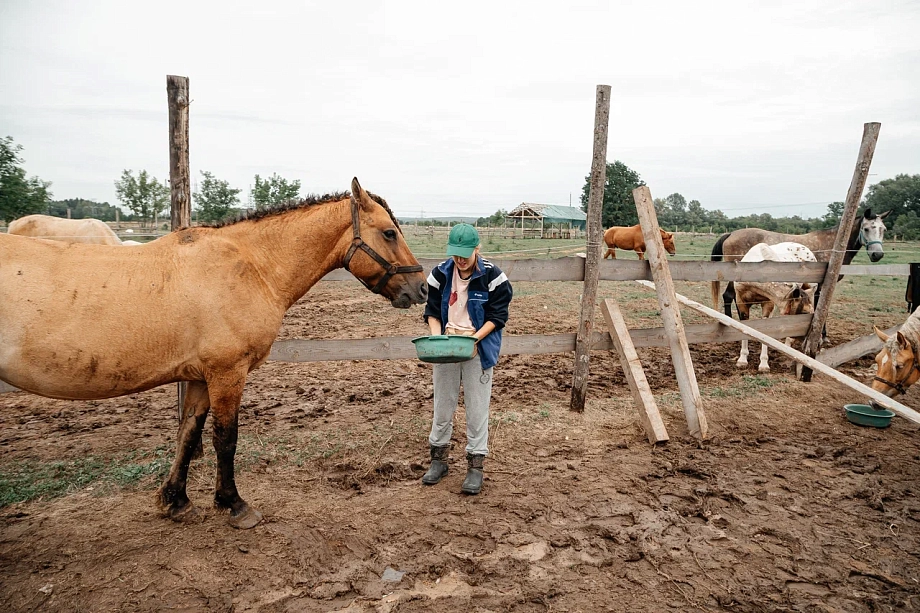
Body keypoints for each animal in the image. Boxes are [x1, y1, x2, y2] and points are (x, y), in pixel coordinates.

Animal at [0, 177, 430, 524]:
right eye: (389, 233)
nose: (422, 289)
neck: (252, 266)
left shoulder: (199, 377)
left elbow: (188, 434)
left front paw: (175, 501)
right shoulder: (227, 373)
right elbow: (226, 438)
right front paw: (233, 504)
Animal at [736, 241, 816, 370]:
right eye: (804, 312)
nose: (804, 339)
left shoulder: (769, 304)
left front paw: (764, 364)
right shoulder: (741, 302)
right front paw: (742, 360)